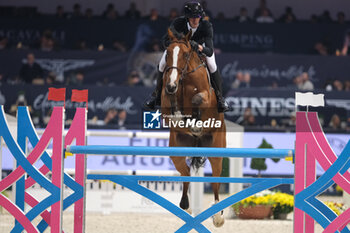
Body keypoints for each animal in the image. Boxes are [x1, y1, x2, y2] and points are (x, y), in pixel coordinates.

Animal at [160, 28, 226, 228]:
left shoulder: (206, 96)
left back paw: (218, 215)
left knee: (216, 179)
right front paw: (180, 116)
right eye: (168, 54)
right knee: (186, 173)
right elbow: (171, 103)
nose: (171, 85)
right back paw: (186, 205)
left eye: (186, 54)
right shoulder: (165, 97)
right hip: (177, 152)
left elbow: (198, 99)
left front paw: (195, 122)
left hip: (216, 149)